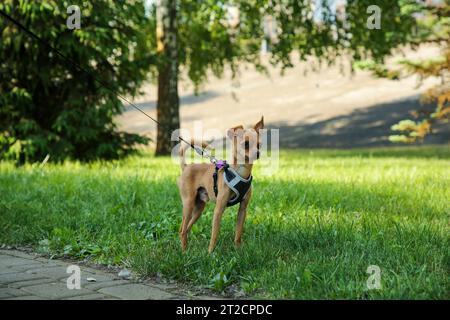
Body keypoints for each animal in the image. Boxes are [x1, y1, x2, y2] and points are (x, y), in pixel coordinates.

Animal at [178, 117, 266, 252]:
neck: (240, 172)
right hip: (188, 204)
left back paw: (186, 248)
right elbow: (214, 234)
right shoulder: (219, 210)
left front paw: (238, 248)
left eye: (259, 145)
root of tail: (186, 167)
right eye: (245, 144)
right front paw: (210, 252)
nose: (257, 153)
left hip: (198, 208)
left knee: (184, 228)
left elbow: (238, 232)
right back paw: (184, 251)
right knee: (183, 229)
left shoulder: (242, 210)